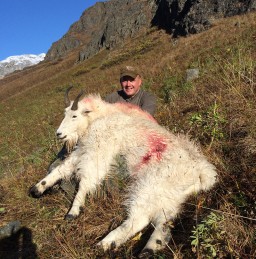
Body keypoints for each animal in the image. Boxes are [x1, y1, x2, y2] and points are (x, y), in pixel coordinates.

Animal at [30, 88, 218, 258]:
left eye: (74, 115)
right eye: (65, 113)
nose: (59, 134)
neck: (101, 115)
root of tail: (202, 172)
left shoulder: (99, 147)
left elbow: (87, 178)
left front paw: (73, 211)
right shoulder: (82, 149)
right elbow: (62, 168)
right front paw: (37, 189)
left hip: (151, 185)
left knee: (139, 219)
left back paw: (106, 243)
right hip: (171, 194)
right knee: (165, 219)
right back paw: (150, 248)